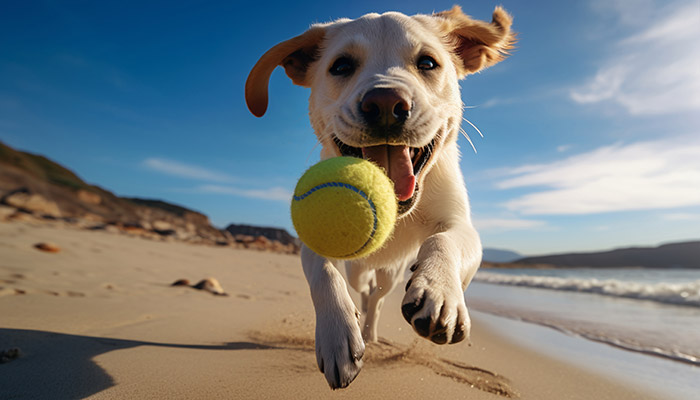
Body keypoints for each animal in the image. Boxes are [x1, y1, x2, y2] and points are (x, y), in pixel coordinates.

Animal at [246, 5, 516, 388]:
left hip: (392, 273)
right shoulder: (313, 239)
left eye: (428, 63)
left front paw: (440, 292)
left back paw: (372, 330)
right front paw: (336, 335)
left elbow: (444, 241)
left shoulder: (459, 225)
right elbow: (323, 274)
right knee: (362, 288)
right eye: (341, 66)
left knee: (378, 297)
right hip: (359, 269)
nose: (386, 103)